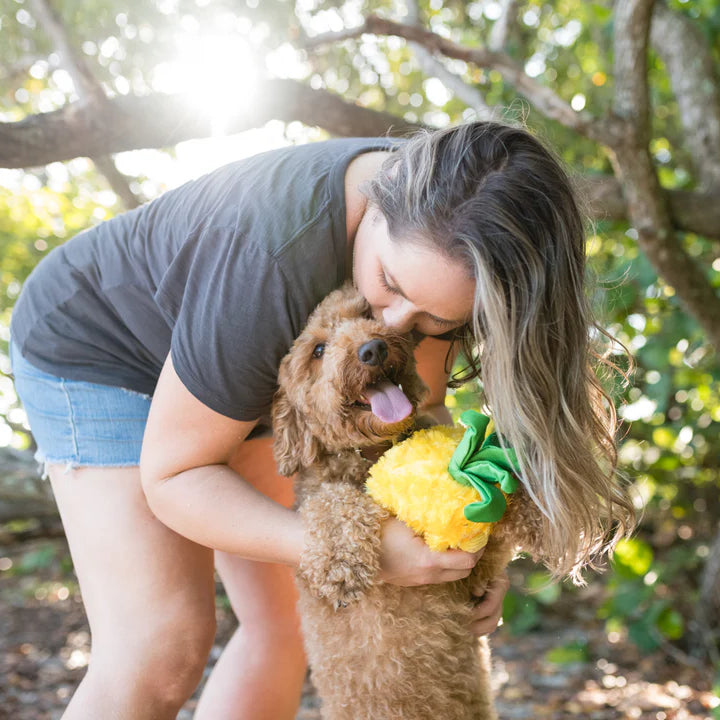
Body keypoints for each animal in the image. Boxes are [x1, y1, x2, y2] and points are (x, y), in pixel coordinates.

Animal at [272, 284, 544, 720]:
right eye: (317, 350)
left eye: (367, 314)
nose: (372, 349)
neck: (370, 454)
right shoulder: (321, 496)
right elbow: (331, 501)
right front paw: (342, 562)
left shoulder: (479, 570)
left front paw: (538, 512)